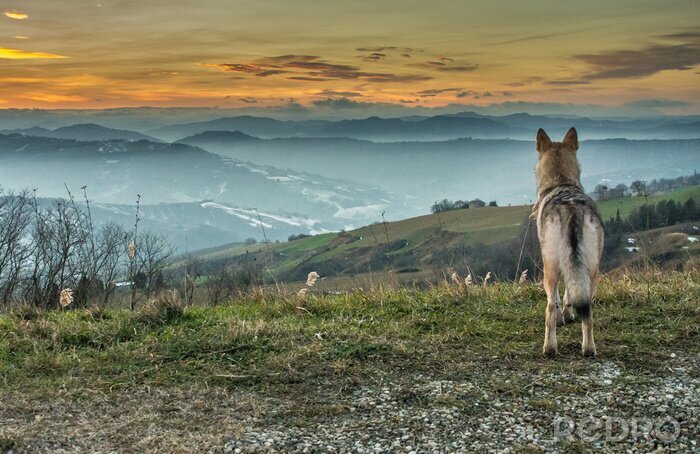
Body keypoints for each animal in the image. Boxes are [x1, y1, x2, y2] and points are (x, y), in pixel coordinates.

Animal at [532, 127, 604, 357]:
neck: (561, 183)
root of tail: (572, 210)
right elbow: (570, 293)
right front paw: (569, 313)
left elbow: (555, 301)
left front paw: (562, 318)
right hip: (593, 269)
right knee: (588, 310)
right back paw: (589, 349)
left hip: (550, 270)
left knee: (548, 308)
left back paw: (549, 348)